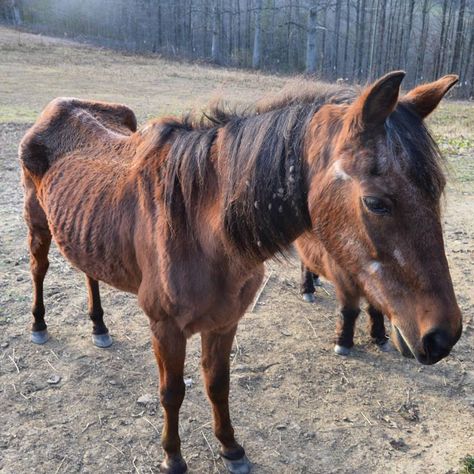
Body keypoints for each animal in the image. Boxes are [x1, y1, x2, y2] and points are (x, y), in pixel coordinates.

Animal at [20, 72, 462, 472]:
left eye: (437, 191)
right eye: (375, 202)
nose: (443, 336)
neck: (198, 228)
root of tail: (57, 106)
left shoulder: (225, 321)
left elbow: (218, 386)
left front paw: (231, 448)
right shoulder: (165, 327)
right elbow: (172, 392)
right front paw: (172, 457)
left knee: (89, 273)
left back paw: (99, 327)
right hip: (38, 225)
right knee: (39, 270)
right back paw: (39, 325)